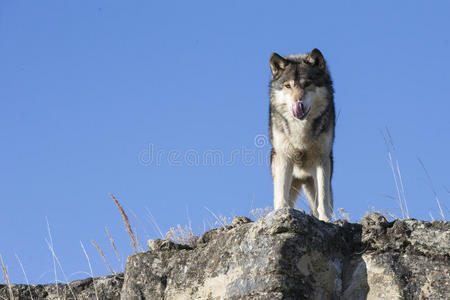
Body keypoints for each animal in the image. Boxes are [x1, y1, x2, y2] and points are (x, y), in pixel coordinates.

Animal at [268, 49, 334, 221]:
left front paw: (325, 219)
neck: (300, 130)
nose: (298, 104)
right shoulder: (284, 157)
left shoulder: (322, 159)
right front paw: (281, 212)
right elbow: (281, 194)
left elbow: (323, 196)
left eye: (307, 84)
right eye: (287, 86)